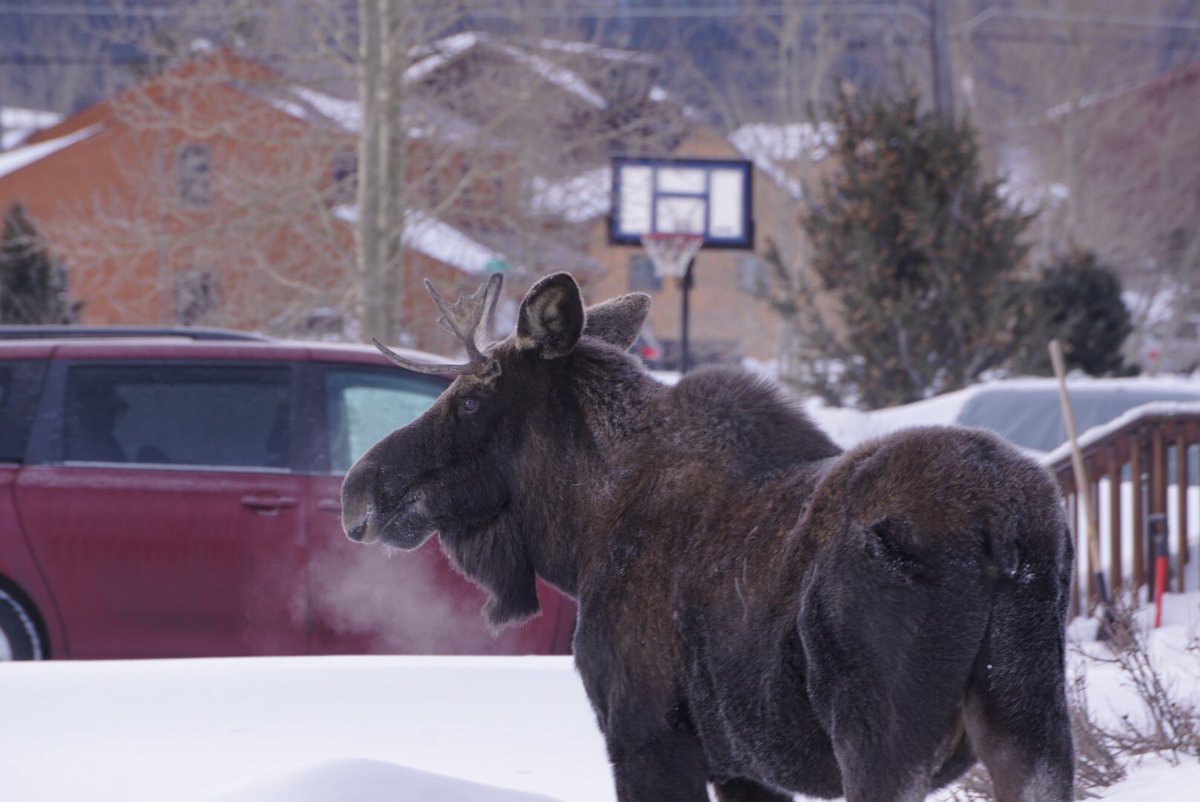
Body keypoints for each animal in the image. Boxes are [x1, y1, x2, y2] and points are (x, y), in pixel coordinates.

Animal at [341, 272, 1075, 802]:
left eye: (468, 399)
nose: (357, 488)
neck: (580, 537)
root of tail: (1003, 530)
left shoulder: (644, 737)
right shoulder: (743, 768)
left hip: (883, 740)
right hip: (1034, 726)